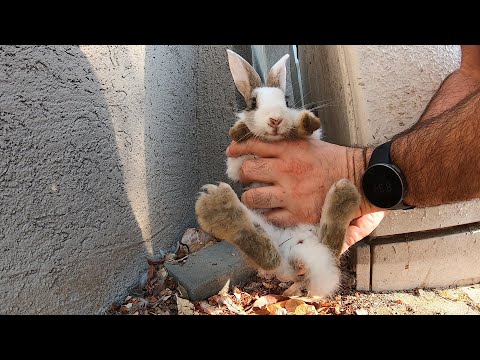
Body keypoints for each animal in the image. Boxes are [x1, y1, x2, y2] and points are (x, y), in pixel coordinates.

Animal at [195, 50, 360, 298]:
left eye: (287, 101)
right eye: (253, 103)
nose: (275, 119)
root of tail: (301, 248)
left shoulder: (313, 138)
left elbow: (307, 130)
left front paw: (305, 121)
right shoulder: (236, 163)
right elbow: (237, 157)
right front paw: (240, 129)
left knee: (330, 246)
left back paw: (344, 197)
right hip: (269, 237)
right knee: (270, 259)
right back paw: (219, 209)